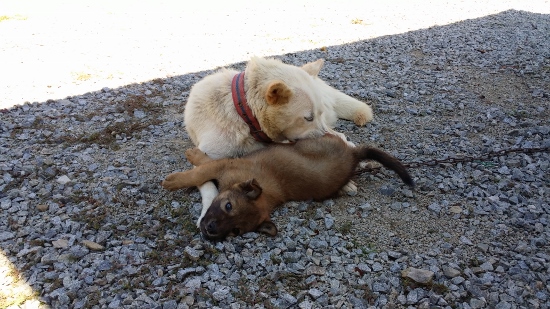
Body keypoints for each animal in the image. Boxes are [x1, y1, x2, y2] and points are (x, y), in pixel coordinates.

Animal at [163, 134, 414, 239]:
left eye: (236, 231)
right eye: (227, 206)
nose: (211, 230)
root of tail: (353, 156)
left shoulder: (225, 165)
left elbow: (201, 169)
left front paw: (175, 179)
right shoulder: (224, 165)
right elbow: (200, 169)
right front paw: (183, 170)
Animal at [183, 56, 374, 224]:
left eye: (316, 115)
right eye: (308, 118)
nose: (324, 139)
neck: (243, 115)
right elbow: (206, 181)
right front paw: (207, 211)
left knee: (342, 137)